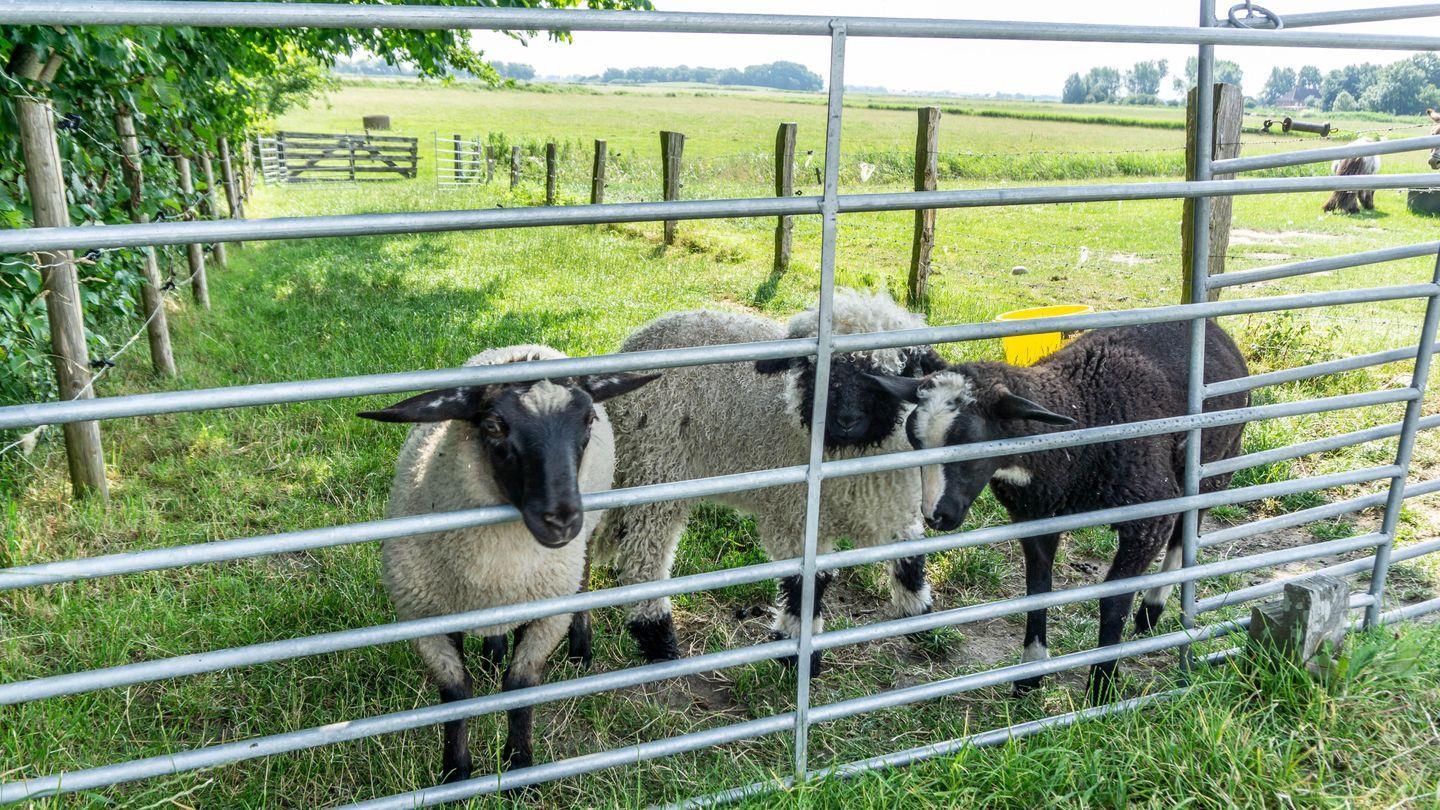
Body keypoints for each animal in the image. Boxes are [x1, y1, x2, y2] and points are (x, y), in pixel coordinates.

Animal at [358, 345, 658, 783]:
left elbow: (519, 687)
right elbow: (456, 694)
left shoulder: (547, 615)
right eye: (494, 426)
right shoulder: (424, 617)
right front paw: (456, 772)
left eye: (589, 421)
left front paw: (519, 767)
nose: (561, 519)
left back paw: (580, 647)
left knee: (584, 575)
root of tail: (530, 348)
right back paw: (493, 651)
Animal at [585, 288, 947, 671]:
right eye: (811, 369)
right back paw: (658, 639)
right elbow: (805, 584)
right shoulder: (795, 516)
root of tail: (632, 346)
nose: (846, 420)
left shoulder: (894, 505)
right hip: (658, 467)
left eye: (891, 375)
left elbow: (911, 561)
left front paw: (922, 619)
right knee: (643, 558)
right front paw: (798, 652)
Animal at [867, 320, 1248, 701]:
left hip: (1216, 464)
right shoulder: (1034, 519)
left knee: (1187, 530)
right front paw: (1030, 675)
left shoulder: (1148, 518)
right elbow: (1037, 592)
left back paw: (1151, 611)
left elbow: (1114, 600)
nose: (936, 516)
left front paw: (1103, 688)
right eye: (914, 440)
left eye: (970, 443)